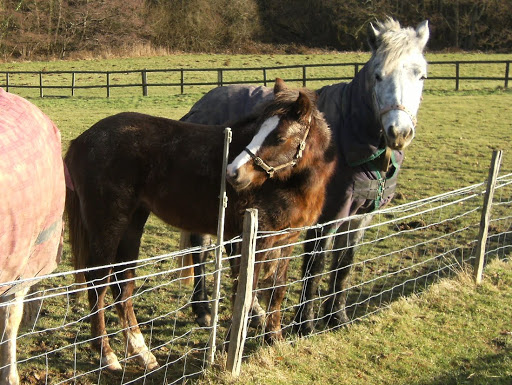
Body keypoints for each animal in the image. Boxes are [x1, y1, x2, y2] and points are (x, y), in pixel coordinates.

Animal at [64, 79, 336, 372]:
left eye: (280, 138)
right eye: (258, 131)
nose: (233, 172)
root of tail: (82, 140)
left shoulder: (286, 240)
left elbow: (277, 290)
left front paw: (274, 339)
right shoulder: (256, 239)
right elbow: (246, 293)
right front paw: (229, 348)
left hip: (132, 224)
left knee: (123, 286)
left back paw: (143, 353)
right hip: (108, 224)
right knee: (98, 283)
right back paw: (107, 354)